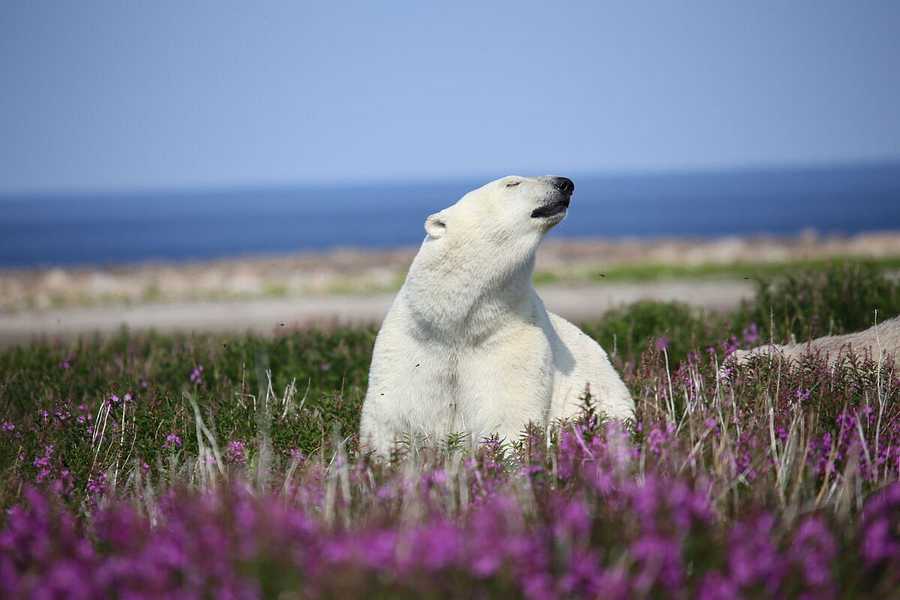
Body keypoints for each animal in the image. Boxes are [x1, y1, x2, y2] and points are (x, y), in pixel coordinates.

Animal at [359, 175, 634, 456]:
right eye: (512, 183)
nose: (565, 183)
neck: (458, 325)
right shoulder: (411, 343)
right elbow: (391, 412)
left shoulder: (512, 343)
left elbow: (507, 414)